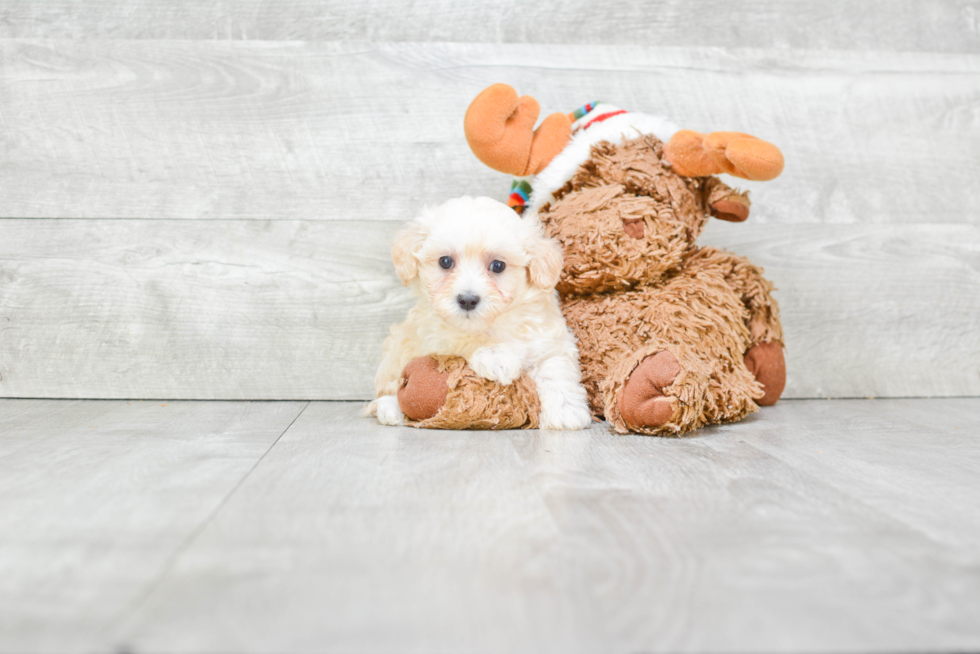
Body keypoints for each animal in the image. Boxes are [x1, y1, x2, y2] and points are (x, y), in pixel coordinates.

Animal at [368, 196, 588, 430]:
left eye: (498, 265)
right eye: (445, 261)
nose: (467, 300)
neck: (496, 323)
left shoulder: (550, 339)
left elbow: (556, 368)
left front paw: (566, 411)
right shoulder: (435, 331)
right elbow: (465, 336)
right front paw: (496, 356)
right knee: (390, 386)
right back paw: (390, 409)